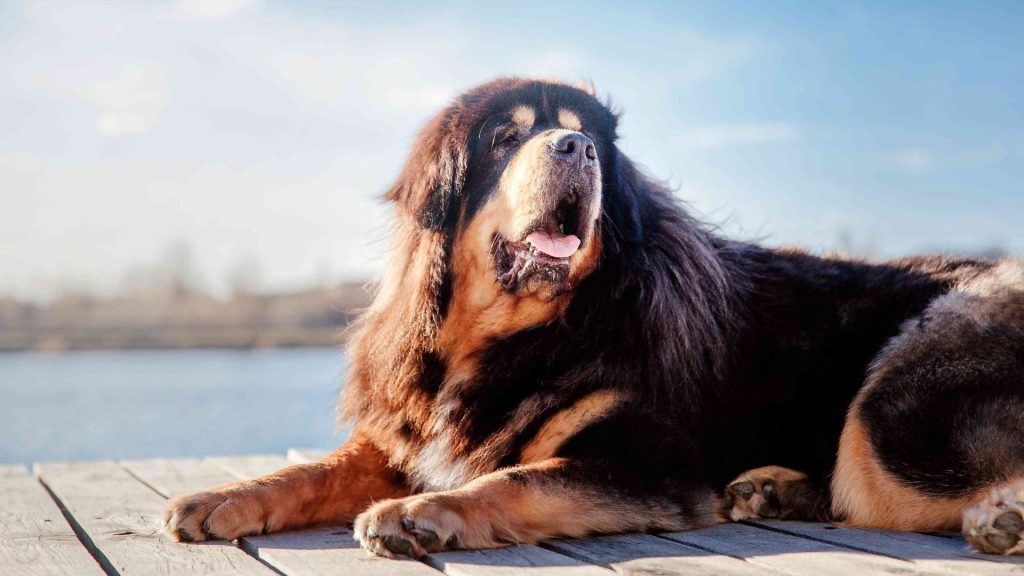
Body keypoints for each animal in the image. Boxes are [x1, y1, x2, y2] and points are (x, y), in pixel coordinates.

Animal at [163, 77, 1024, 557]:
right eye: (505, 138)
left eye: (587, 141)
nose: (572, 149)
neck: (517, 333)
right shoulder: (410, 433)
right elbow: (312, 469)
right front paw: (223, 497)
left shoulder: (645, 462)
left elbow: (518, 479)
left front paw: (422, 513)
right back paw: (772, 490)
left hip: (887, 418)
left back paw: (998, 517)